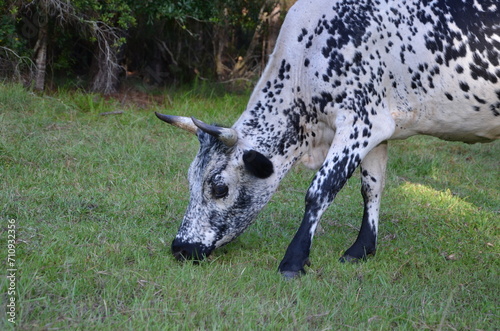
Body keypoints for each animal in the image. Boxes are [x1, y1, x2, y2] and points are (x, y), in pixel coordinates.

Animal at [154, 0, 498, 280]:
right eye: (190, 179)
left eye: (219, 187)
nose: (181, 247)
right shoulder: (380, 127)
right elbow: (371, 186)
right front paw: (362, 249)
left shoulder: (360, 121)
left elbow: (320, 190)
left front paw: (293, 261)